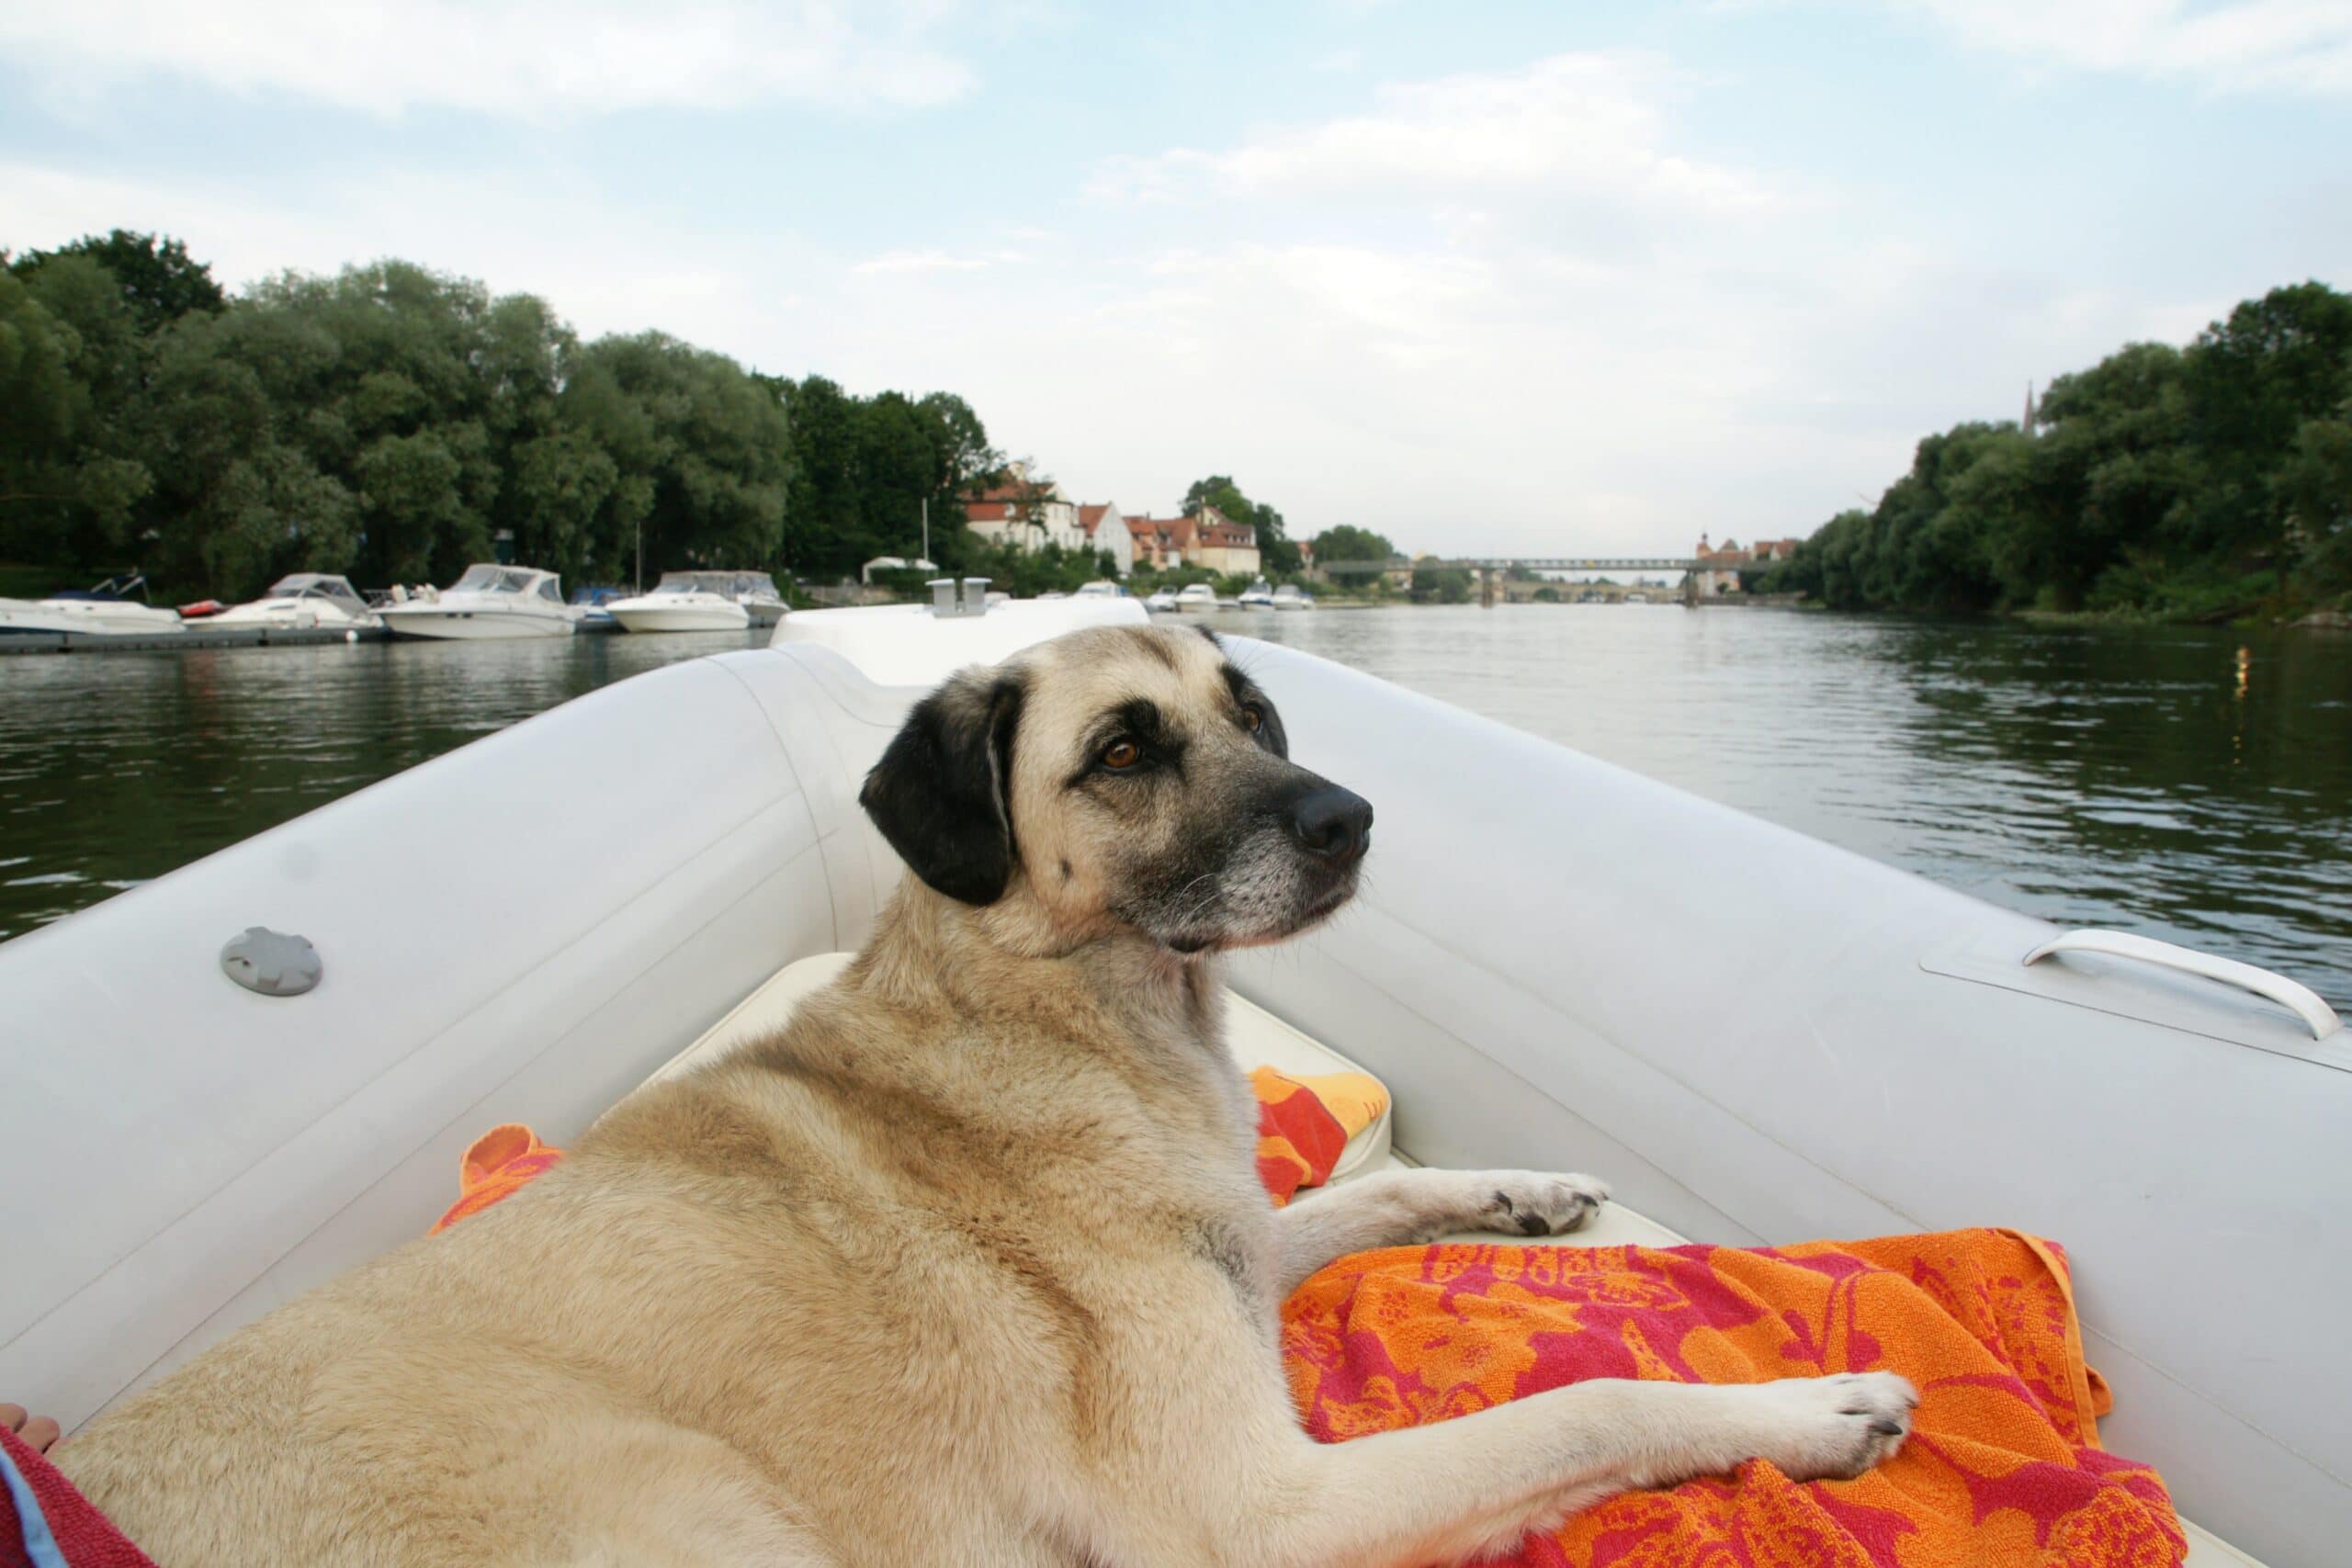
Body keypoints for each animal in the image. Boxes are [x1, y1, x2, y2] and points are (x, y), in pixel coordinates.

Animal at [51, 629, 1909, 1568]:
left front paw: (1516, 1189)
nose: (1356, 819)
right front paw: (1810, 1408)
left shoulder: (1236, 1256)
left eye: (1256, 709)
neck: (1075, 1012)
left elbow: (1351, 1196)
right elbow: (1582, 1407)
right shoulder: (1254, 1508)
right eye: (1124, 749)